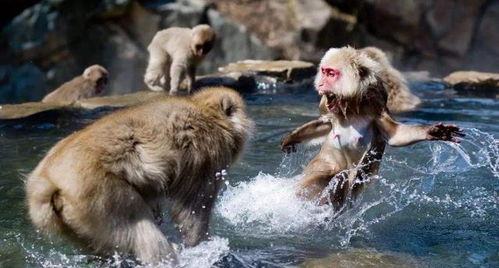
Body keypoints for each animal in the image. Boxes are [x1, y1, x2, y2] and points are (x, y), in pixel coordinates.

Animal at [26, 86, 254, 264]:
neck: (207, 112)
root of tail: (49, 181)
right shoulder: (207, 154)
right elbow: (191, 211)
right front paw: (202, 246)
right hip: (100, 194)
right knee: (142, 231)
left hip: (75, 219)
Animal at [282, 47, 464, 211]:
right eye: (324, 72)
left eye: (331, 74)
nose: (320, 83)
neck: (352, 105)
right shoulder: (327, 107)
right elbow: (325, 124)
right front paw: (291, 138)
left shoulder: (377, 103)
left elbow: (395, 135)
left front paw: (432, 132)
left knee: (344, 177)